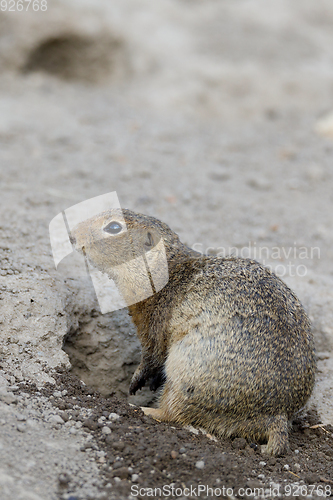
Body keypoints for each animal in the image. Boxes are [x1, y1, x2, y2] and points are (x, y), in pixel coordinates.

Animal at [71, 209, 316, 456]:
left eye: (113, 227)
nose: (72, 233)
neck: (168, 269)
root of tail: (277, 416)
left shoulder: (154, 323)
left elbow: (151, 355)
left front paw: (136, 382)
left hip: (183, 377)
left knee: (172, 414)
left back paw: (142, 410)